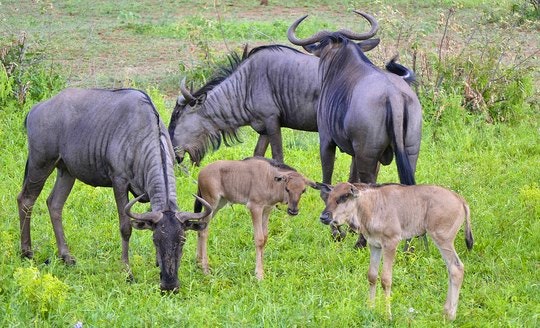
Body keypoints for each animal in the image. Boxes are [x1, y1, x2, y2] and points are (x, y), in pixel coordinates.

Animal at [318, 182, 474, 320]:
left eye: (344, 197)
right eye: (329, 196)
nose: (324, 217)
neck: (371, 205)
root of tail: (460, 199)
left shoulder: (391, 243)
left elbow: (386, 279)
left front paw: (388, 315)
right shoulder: (375, 245)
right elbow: (372, 276)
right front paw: (370, 309)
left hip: (443, 240)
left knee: (457, 268)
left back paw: (451, 315)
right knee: (451, 268)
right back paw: (446, 312)